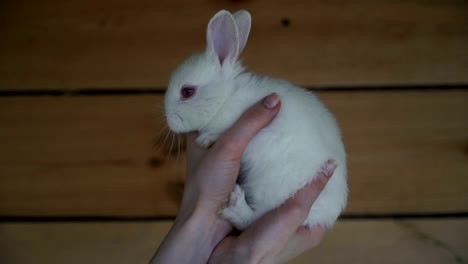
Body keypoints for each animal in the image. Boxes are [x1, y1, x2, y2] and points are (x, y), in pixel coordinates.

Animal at [165, 9, 348, 230]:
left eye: (187, 91)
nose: (169, 119)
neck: (227, 97)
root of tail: (324, 216)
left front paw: (204, 139)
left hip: (269, 187)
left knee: (255, 219)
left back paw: (236, 206)